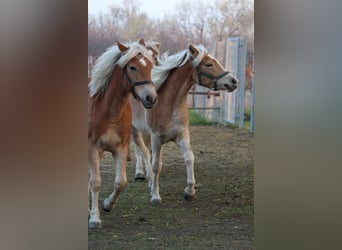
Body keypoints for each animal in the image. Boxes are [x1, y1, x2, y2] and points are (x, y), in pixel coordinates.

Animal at [88, 38, 158, 228]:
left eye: (150, 65)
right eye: (132, 67)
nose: (151, 98)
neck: (110, 111)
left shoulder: (120, 147)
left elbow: (120, 182)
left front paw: (107, 204)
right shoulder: (93, 148)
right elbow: (96, 182)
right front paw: (94, 218)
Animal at [130, 42, 239, 203]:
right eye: (208, 64)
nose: (234, 81)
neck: (170, 104)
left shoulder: (182, 135)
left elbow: (189, 158)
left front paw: (190, 191)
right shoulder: (156, 138)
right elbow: (156, 165)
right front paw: (155, 196)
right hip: (134, 130)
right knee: (141, 151)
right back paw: (142, 176)